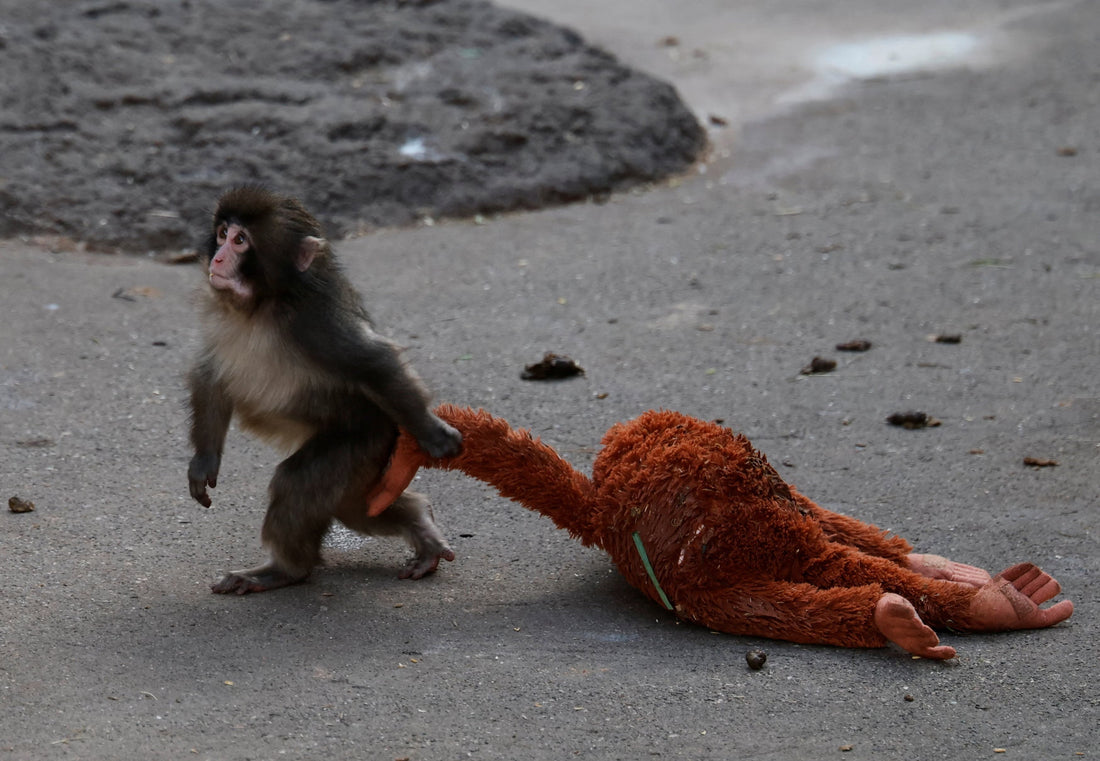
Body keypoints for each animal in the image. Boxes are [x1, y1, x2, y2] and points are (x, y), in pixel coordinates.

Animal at [187, 186, 462, 594]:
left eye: (240, 241)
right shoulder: (218, 314)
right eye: (222, 233)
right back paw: (421, 523)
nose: (218, 257)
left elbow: (373, 361)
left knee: (300, 483)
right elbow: (210, 375)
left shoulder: (316, 323)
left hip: (365, 438)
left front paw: (433, 433)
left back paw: (285, 570)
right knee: (357, 507)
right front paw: (204, 461)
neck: (262, 305)